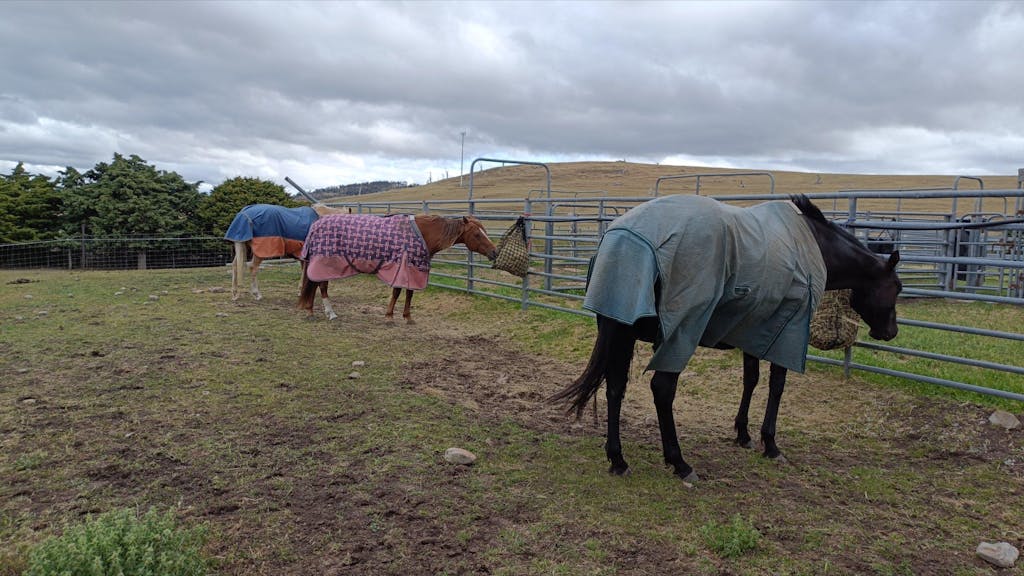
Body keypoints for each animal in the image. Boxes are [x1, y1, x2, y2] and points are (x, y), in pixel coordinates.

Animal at [298, 213, 498, 322]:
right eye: (477, 234)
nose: (495, 252)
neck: (422, 234)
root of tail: (315, 225)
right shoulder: (402, 267)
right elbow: (397, 292)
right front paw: (389, 316)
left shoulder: (413, 269)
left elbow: (409, 293)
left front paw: (407, 317)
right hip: (325, 262)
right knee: (320, 285)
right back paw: (326, 313)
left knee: (316, 285)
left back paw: (314, 310)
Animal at [550, 194, 902, 483]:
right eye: (896, 288)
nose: (891, 332)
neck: (814, 245)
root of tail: (624, 237)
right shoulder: (787, 331)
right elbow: (776, 386)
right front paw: (770, 444)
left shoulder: (754, 329)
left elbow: (751, 380)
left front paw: (743, 434)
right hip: (680, 332)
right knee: (662, 389)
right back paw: (679, 463)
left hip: (620, 328)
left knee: (615, 388)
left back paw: (618, 459)